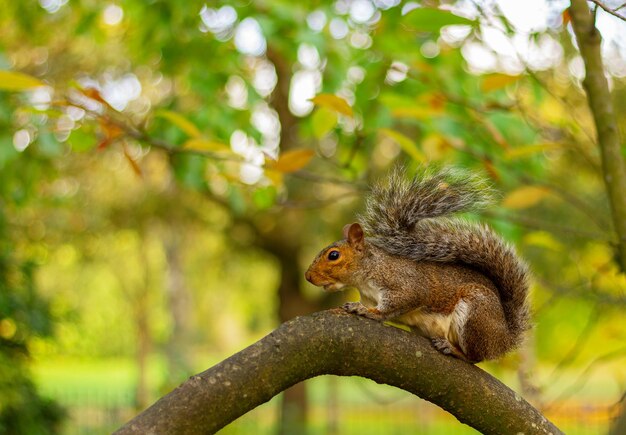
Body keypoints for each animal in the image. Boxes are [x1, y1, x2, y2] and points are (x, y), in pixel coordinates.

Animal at [304, 168, 528, 364]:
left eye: (333, 255)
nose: (308, 276)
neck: (370, 273)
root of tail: (504, 339)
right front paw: (357, 306)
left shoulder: (405, 284)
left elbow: (398, 303)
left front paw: (369, 312)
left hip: (476, 313)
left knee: (474, 357)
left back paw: (452, 349)